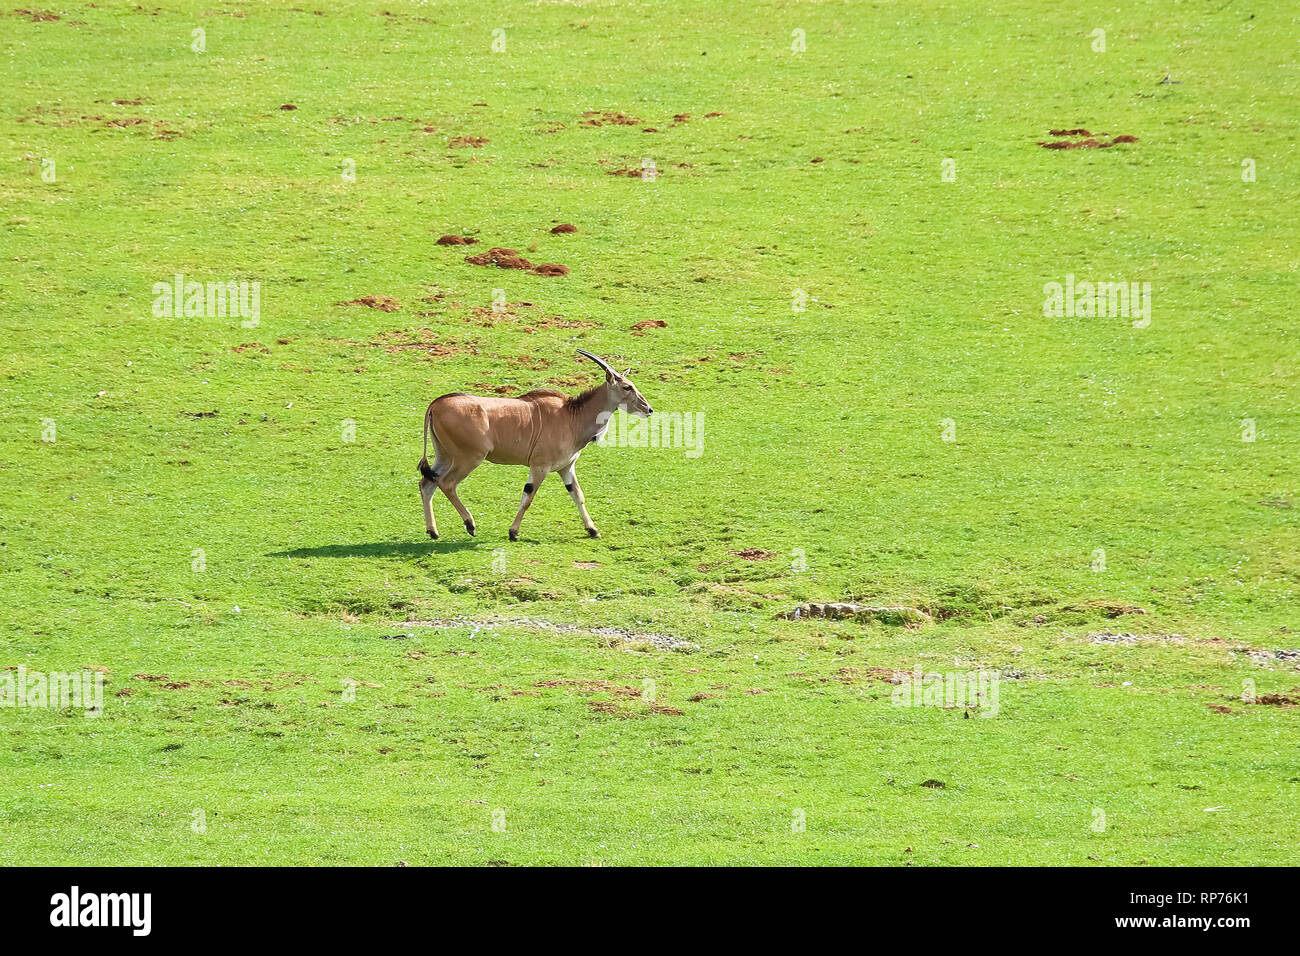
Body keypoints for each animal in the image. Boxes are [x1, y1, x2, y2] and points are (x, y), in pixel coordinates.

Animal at [418, 350, 653, 541]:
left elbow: (578, 495)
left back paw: (433, 531)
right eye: (627, 387)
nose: (648, 409)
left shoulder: (566, 468)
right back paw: (470, 524)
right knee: (446, 483)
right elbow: (528, 497)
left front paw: (593, 530)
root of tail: (436, 404)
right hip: (469, 458)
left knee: (427, 482)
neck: (571, 416)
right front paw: (513, 532)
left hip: (445, 457)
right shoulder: (540, 466)